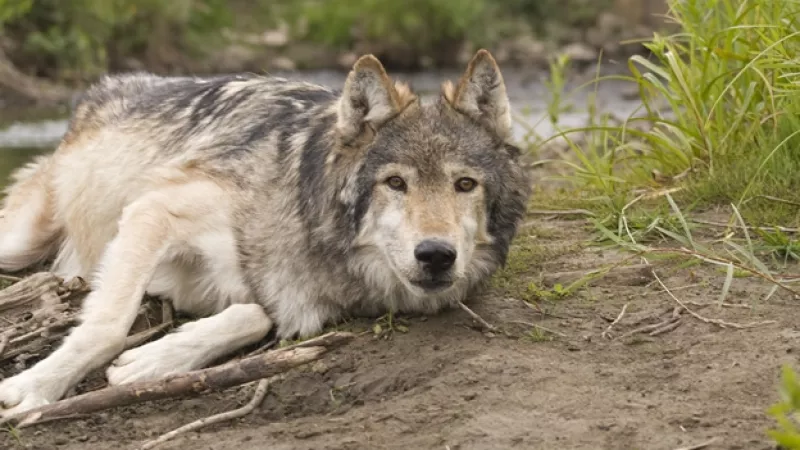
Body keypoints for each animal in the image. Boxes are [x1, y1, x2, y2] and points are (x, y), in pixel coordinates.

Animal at [0, 49, 531, 416]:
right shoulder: (153, 211)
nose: (436, 254)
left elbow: (255, 313)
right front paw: (31, 388)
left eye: (465, 184)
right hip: (20, 242)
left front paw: (151, 362)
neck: (300, 212)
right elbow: (107, 326)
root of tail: (104, 89)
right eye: (396, 183)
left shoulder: (289, 304)